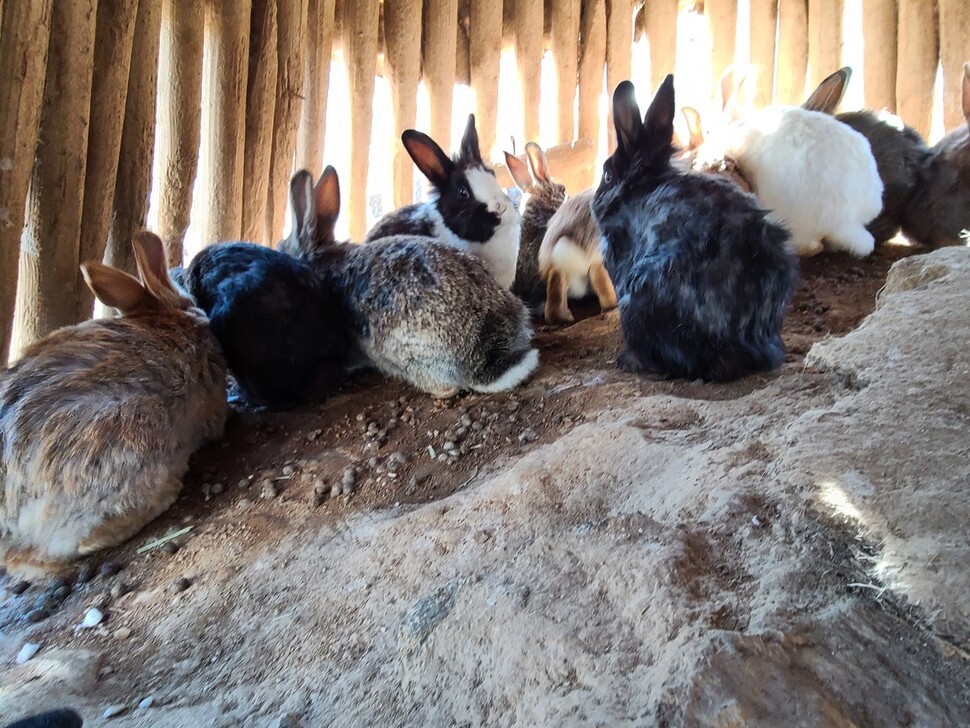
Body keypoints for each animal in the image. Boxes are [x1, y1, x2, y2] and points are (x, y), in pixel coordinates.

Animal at [592, 75, 796, 382]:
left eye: (606, 176)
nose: (594, 204)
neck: (639, 188)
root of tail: (742, 345)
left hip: (637, 297)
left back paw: (629, 359)